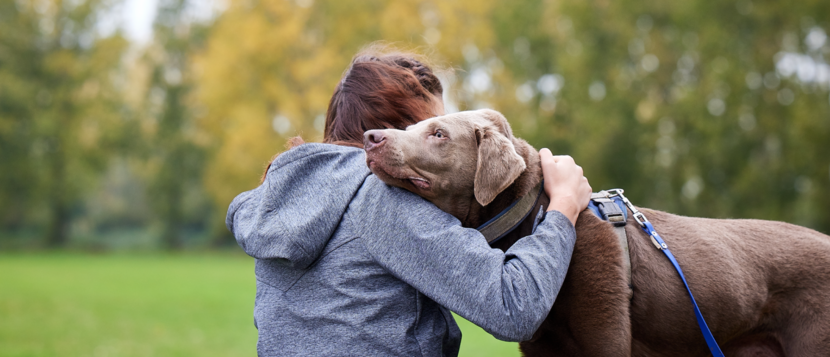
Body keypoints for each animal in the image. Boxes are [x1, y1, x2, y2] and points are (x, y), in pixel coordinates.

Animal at [362, 109, 830, 356]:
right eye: (415, 126)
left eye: (438, 133)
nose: (371, 136)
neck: (534, 216)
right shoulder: (542, 346)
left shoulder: (605, 334)